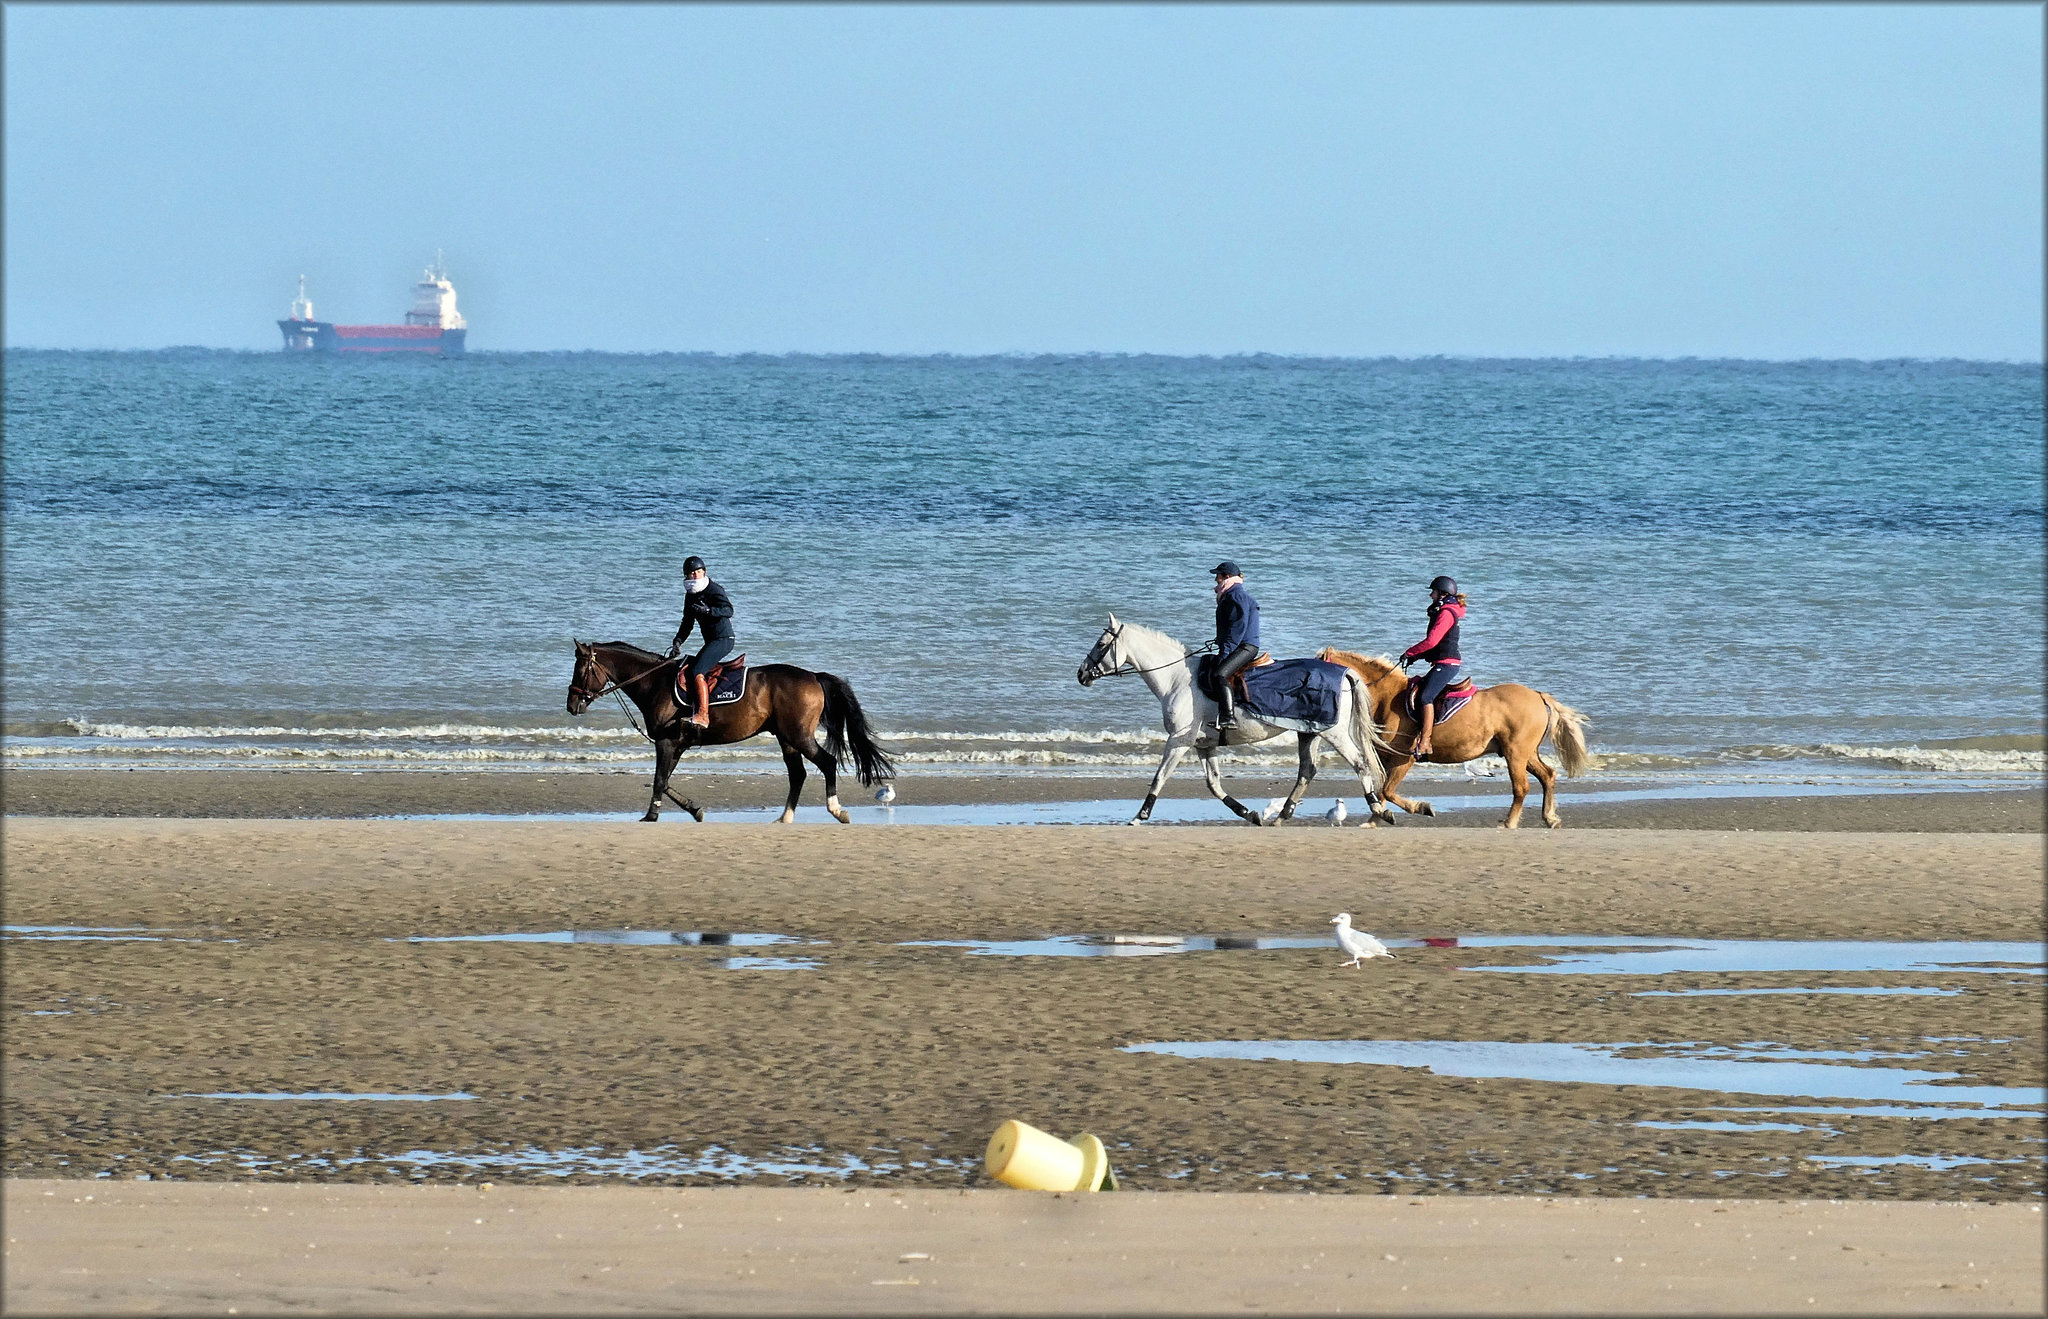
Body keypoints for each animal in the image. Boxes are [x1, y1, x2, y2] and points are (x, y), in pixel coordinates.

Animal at [565, 643, 892, 823]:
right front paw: (694, 809)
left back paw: (837, 810)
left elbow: (659, 781)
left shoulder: (667, 743)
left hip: (798, 736)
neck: (655, 682)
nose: (571, 705)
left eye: (580, 670)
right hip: (786, 739)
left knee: (827, 763)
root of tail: (813, 676)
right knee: (797, 774)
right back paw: (784, 818)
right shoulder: (676, 745)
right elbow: (666, 782)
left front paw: (652, 815)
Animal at [1073, 614, 1392, 823]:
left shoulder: (1179, 740)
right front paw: (1248, 813)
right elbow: (1214, 785)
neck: (1177, 679)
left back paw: (1380, 810)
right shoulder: (1204, 744)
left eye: (1101, 644)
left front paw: (1140, 815)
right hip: (1309, 732)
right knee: (1307, 771)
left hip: (1333, 733)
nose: (1081, 673)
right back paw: (1283, 814)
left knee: (1359, 763)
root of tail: (1344, 672)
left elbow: (1159, 776)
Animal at [1310, 651, 1597, 831]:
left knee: (1521, 787)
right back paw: (1550, 818)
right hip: (1526, 754)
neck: (1388, 697)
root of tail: (1537, 695)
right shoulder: (1389, 759)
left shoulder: (1404, 758)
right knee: (1547, 776)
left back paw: (1510, 822)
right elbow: (1381, 791)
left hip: (1516, 753)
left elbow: (1388, 791)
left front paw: (1422, 808)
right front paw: (1376, 819)